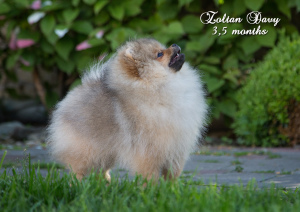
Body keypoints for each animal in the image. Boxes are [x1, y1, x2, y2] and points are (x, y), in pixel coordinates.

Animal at [48, 38, 207, 181]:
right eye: (160, 54)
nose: (174, 44)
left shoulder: (177, 150)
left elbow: (172, 175)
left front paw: (172, 189)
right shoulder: (149, 151)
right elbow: (150, 175)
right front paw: (150, 190)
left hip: (107, 151)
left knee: (101, 171)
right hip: (86, 149)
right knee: (78, 171)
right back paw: (77, 186)